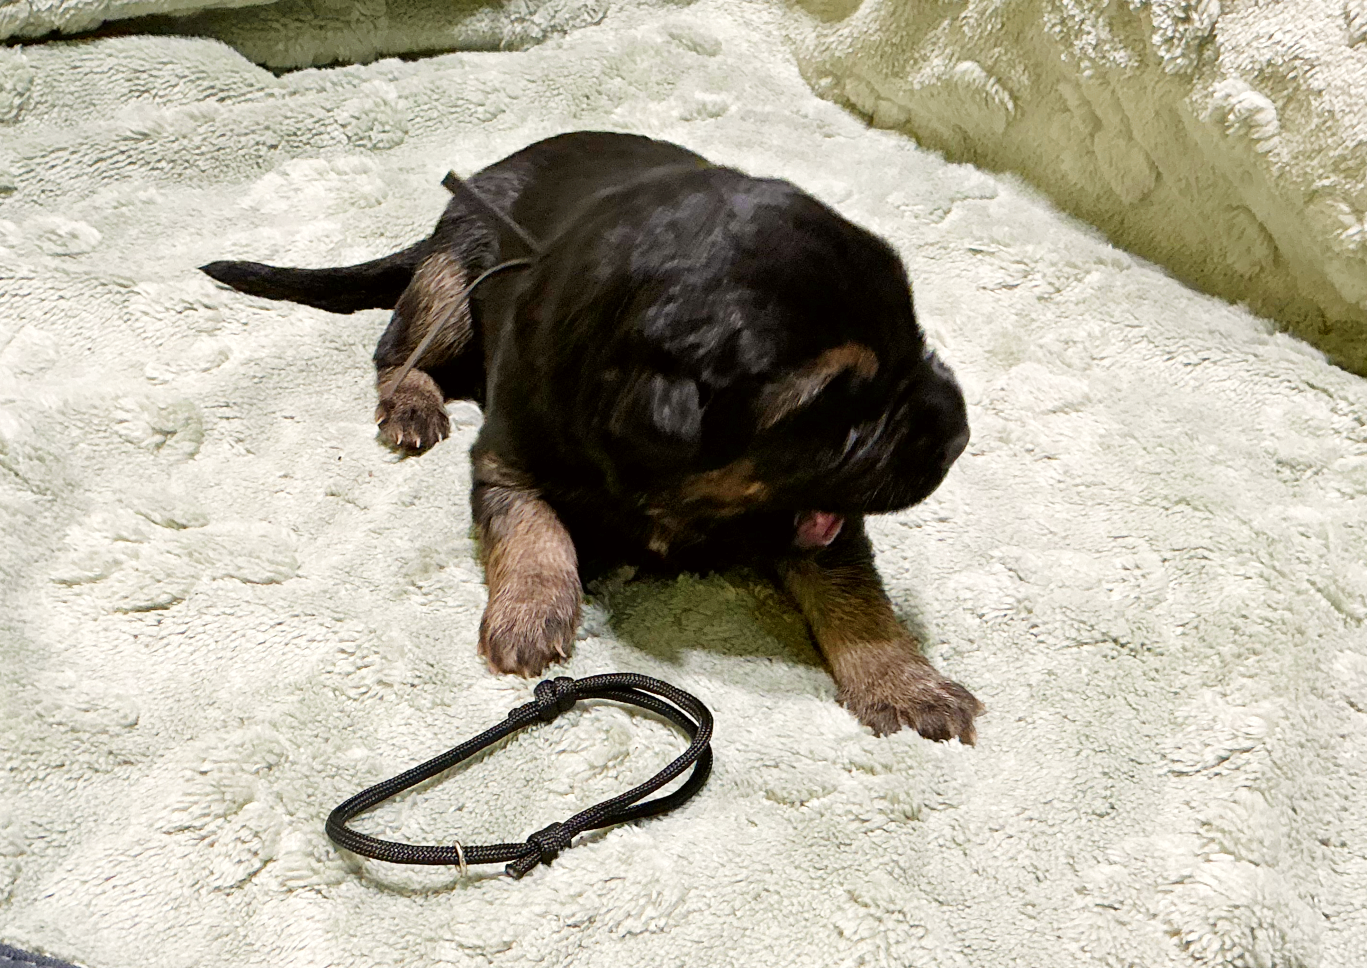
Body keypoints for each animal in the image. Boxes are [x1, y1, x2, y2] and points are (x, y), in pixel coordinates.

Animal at [202, 131, 981, 743]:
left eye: (916, 342)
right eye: (832, 410)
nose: (961, 437)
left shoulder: (814, 513)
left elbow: (852, 589)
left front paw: (907, 684)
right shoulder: (506, 456)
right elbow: (532, 529)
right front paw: (530, 612)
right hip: (452, 280)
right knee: (397, 350)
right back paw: (412, 404)